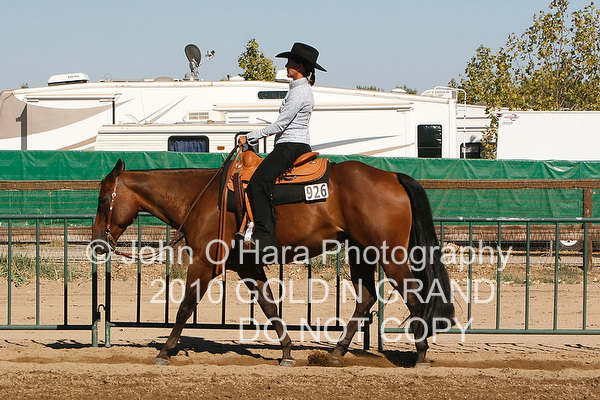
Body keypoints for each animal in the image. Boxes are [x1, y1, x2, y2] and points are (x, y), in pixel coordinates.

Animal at [91, 155, 454, 366]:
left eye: (103, 199)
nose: (97, 242)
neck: (202, 196)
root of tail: (392, 177)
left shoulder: (205, 262)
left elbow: (184, 306)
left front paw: (165, 350)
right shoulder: (247, 265)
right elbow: (269, 307)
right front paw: (287, 352)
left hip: (390, 255)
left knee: (413, 296)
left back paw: (421, 354)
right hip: (360, 253)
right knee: (366, 299)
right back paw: (335, 352)